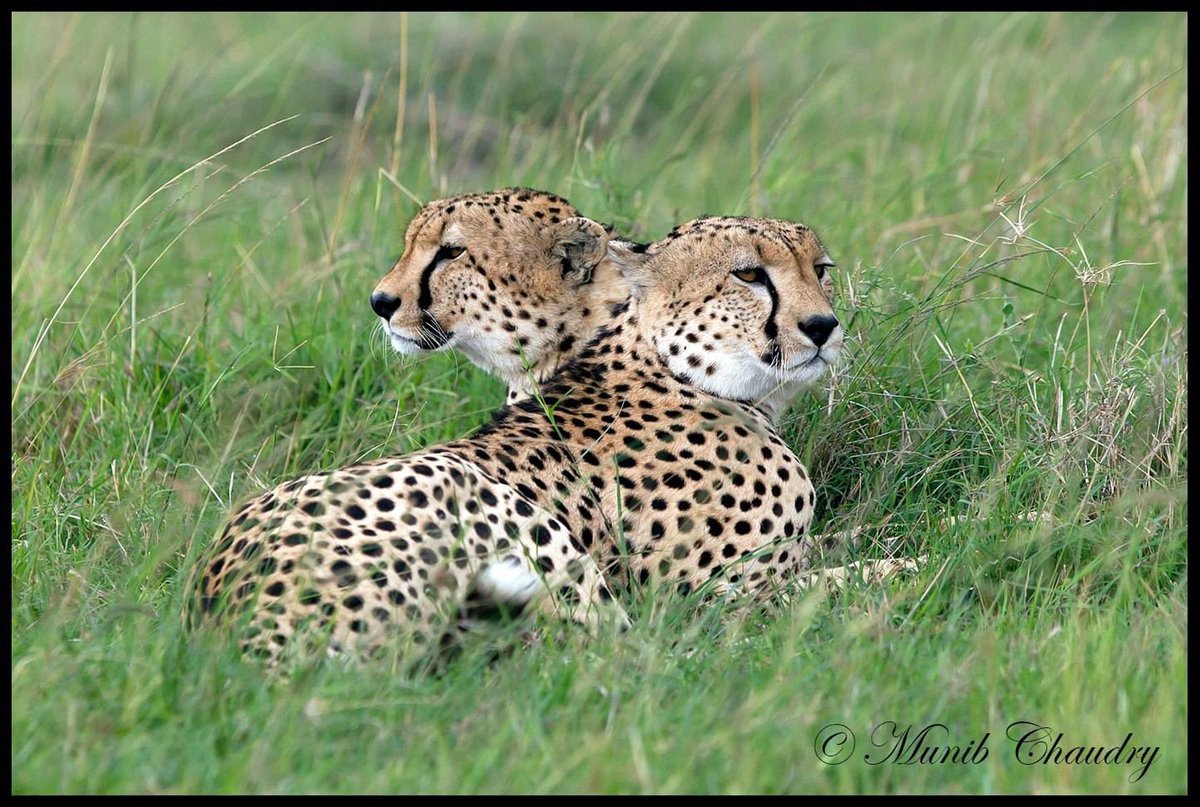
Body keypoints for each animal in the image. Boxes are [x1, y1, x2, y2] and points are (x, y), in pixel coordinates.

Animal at [189, 212, 844, 662]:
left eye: (820, 271)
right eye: (749, 274)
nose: (823, 326)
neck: (680, 371)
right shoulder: (731, 603)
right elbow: (850, 582)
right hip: (485, 498)